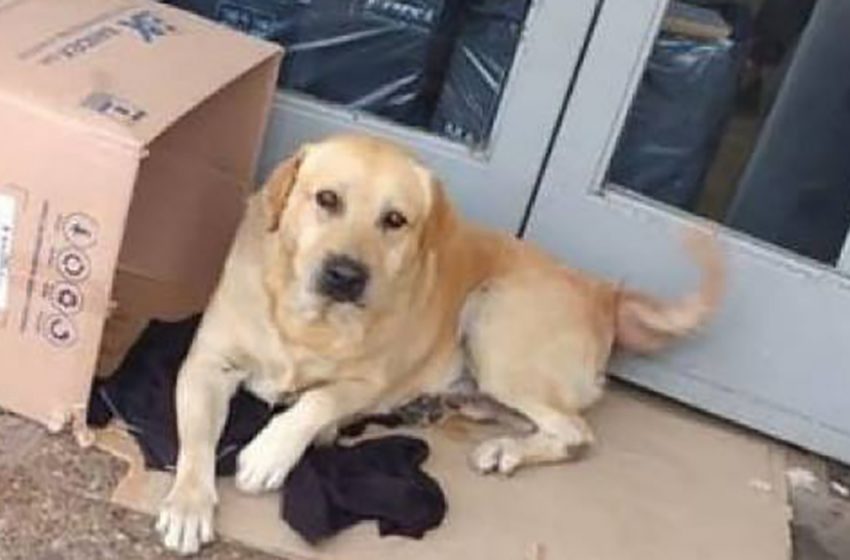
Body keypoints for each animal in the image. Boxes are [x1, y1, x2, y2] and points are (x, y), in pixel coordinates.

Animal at [156, 133, 720, 552]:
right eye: (327, 199)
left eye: (394, 220)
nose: (346, 275)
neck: (308, 321)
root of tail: (601, 292)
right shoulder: (205, 365)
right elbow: (197, 442)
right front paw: (188, 502)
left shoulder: (367, 379)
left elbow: (319, 401)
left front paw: (271, 452)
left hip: (493, 316)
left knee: (576, 430)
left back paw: (505, 449)